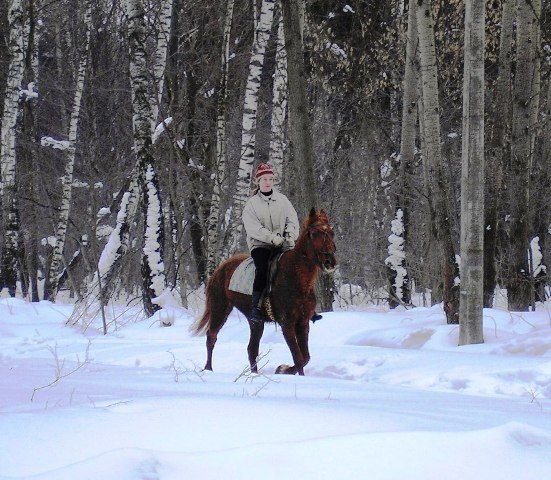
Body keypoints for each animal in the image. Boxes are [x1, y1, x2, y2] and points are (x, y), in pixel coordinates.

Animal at [192, 208, 338, 376]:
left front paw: (283, 369)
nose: (330, 262)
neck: (297, 279)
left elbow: (305, 357)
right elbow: (299, 358)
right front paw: (284, 370)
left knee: (252, 349)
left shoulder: (302, 323)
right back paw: (208, 369)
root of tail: (220, 269)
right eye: (314, 233)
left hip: (255, 321)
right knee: (211, 337)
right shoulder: (287, 324)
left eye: (332, 232)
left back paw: (254, 374)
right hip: (220, 309)